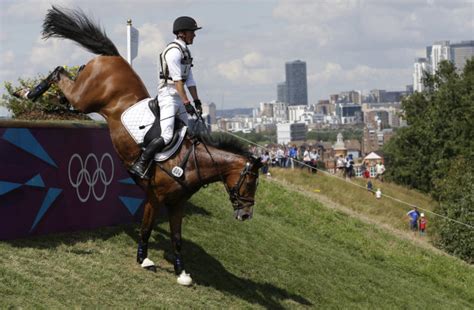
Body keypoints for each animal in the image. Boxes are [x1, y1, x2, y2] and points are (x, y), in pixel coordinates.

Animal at [18, 6, 262, 286]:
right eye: (250, 182)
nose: (246, 215)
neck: (190, 161)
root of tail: (113, 57)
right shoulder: (154, 198)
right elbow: (145, 228)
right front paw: (144, 259)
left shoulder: (176, 204)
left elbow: (177, 239)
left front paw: (181, 272)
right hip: (84, 98)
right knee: (58, 72)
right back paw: (28, 93)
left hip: (82, 97)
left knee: (64, 85)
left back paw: (46, 99)